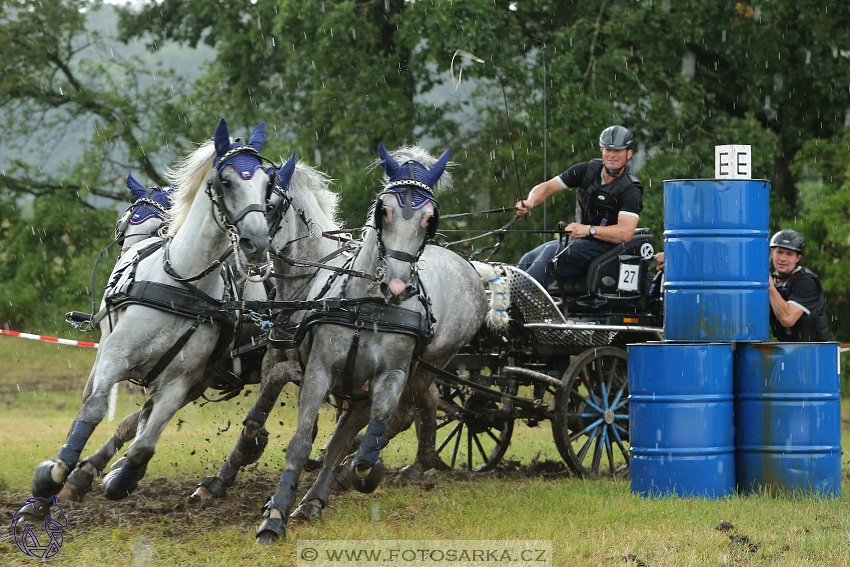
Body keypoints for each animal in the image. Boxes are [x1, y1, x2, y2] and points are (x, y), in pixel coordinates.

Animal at [30, 120, 272, 506]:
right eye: (226, 181)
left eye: (266, 184)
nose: (258, 242)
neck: (182, 283)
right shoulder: (115, 356)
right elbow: (96, 408)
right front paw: (56, 475)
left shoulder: (180, 381)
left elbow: (144, 442)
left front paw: (118, 478)